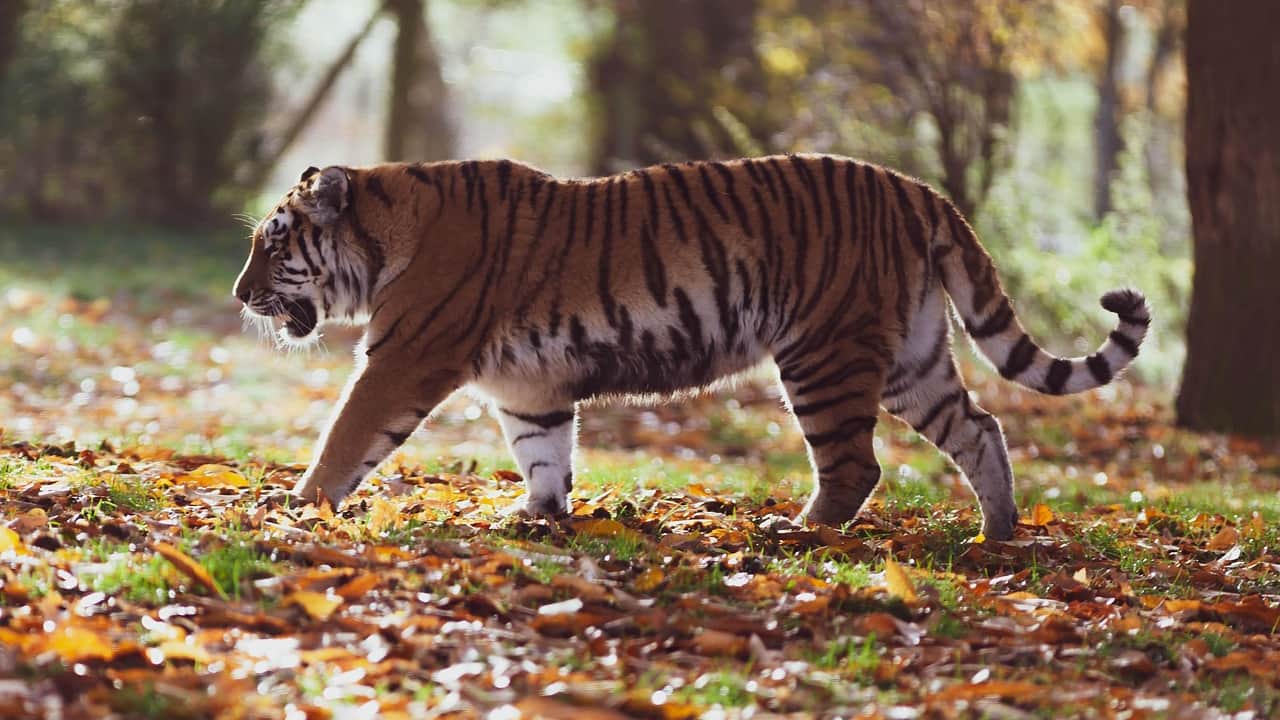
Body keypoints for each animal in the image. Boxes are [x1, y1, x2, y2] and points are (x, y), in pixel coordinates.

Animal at [232, 156, 1152, 538]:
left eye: (273, 247)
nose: (239, 297)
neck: (387, 229)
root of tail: (918, 189)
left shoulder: (403, 359)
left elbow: (346, 435)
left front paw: (298, 504)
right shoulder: (529, 387)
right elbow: (543, 452)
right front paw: (536, 516)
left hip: (823, 353)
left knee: (856, 465)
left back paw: (798, 533)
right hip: (910, 359)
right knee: (980, 429)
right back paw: (997, 535)